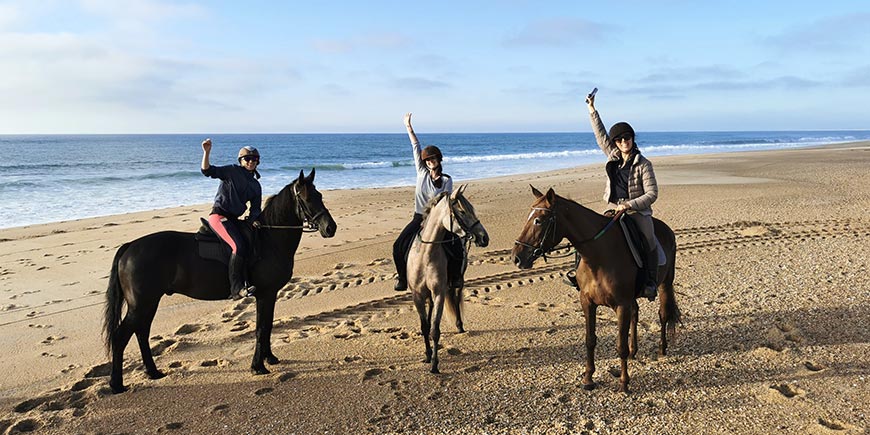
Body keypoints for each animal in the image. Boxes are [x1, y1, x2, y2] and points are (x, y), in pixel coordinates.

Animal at [101, 169, 334, 394]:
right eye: (307, 198)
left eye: (320, 196)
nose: (330, 228)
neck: (268, 240)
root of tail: (130, 246)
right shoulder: (265, 294)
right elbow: (261, 328)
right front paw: (258, 366)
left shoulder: (270, 295)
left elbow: (267, 326)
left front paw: (269, 358)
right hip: (141, 305)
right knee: (121, 337)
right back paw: (117, 384)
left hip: (148, 304)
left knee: (141, 333)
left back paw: (153, 372)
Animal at [410, 186, 490, 372]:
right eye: (462, 211)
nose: (484, 238)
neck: (425, 255)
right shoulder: (418, 295)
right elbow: (425, 327)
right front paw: (427, 355)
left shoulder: (439, 292)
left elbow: (435, 330)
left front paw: (434, 364)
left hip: (458, 281)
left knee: (456, 295)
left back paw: (460, 326)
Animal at [510, 186, 680, 394]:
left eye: (538, 220)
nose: (517, 257)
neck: (599, 256)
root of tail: (667, 230)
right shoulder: (588, 302)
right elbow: (590, 340)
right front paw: (588, 378)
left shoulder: (621, 305)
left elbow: (620, 345)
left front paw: (624, 383)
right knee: (636, 313)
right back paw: (634, 351)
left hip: (665, 283)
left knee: (663, 314)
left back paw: (662, 349)